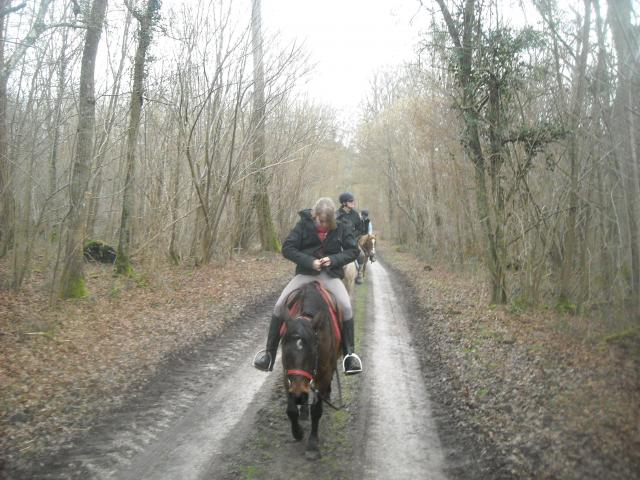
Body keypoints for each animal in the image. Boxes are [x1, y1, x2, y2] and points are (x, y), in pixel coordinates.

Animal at [282, 282, 342, 462]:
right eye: (285, 350)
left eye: (313, 350)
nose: (298, 391)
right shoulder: (286, 373)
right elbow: (291, 410)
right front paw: (297, 432)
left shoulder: (323, 375)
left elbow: (316, 411)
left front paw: (312, 446)